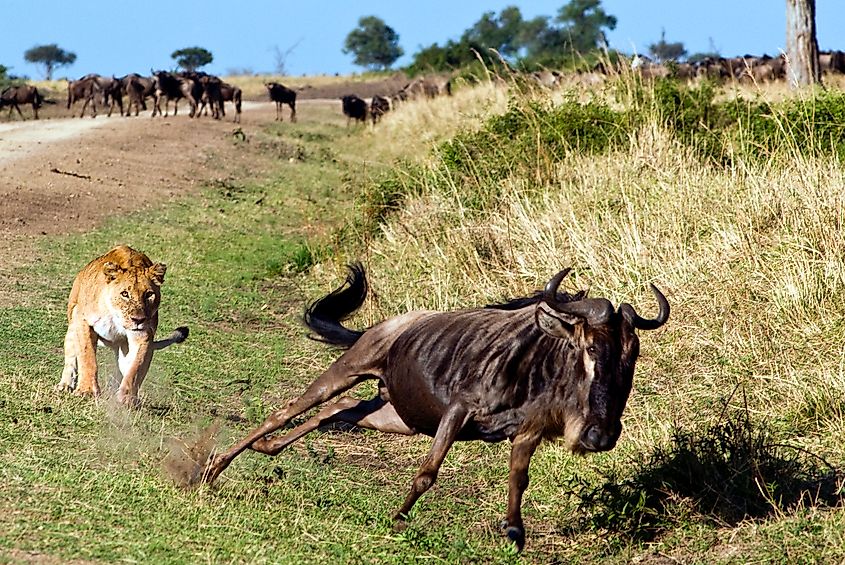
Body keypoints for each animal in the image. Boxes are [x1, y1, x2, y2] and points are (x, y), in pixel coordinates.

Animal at [56, 245, 188, 407]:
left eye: (149, 294)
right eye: (125, 294)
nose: (138, 320)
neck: (116, 316)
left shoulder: (143, 335)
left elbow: (136, 368)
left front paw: (127, 398)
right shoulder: (83, 320)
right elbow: (88, 357)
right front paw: (87, 391)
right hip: (72, 324)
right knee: (71, 357)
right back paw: (65, 385)